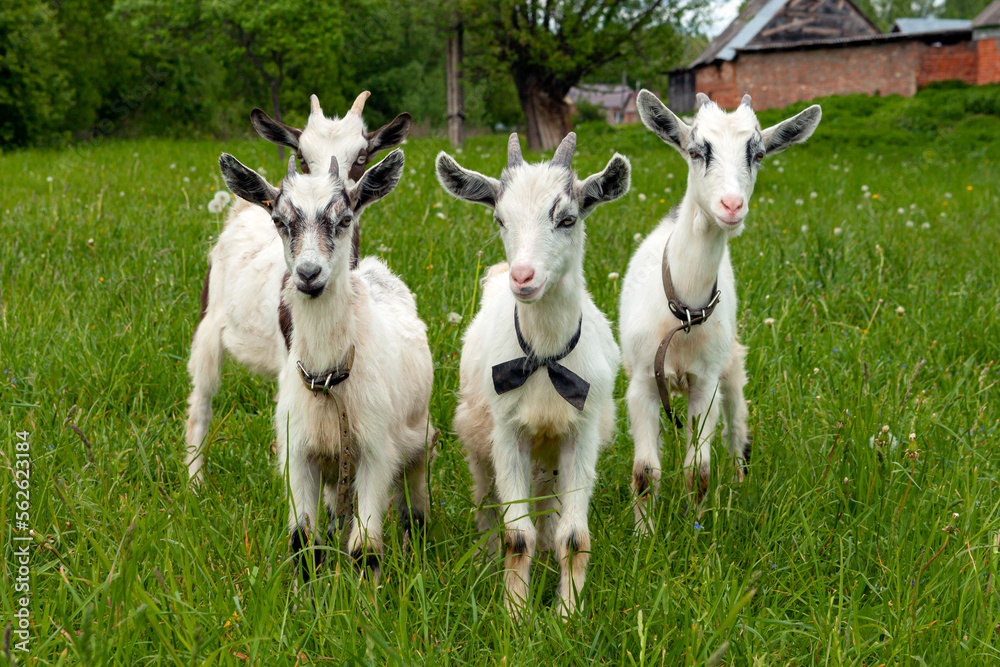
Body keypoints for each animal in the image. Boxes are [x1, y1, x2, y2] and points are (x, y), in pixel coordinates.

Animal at [186, 91, 408, 482]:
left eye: (361, 156)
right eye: (303, 157)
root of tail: (243, 211)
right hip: (208, 321)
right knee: (201, 399)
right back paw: (195, 482)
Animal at [223, 149, 434, 580]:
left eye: (345, 218)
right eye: (279, 221)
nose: (308, 274)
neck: (329, 380)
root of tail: (375, 270)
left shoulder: (376, 451)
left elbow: (366, 548)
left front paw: (368, 597)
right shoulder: (299, 454)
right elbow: (303, 543)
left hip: (417, 438)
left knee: (413, 506)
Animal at [434, 130, 628, 616]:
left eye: (567, 218)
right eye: (499, 218)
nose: (523, 277)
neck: (544, 359)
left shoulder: (581, 432)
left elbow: (574, 536)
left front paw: (567, 613)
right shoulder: (508, 434)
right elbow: (516, 535)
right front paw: (515, 615)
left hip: (552, 457)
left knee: (550, 513)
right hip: (477, 436)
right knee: (487, 503)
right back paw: (486, 557)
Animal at [624, 90, 820, 532]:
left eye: (758, 154)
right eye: (697, 151)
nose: (732, 205)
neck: (683, 313)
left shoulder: (706, 384)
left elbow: (698, 470)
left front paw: (696, 531)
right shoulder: (642, 381)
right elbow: (645, 471)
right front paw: (644, 537)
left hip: (730, 361)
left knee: (738, 424)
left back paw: (739, 480)